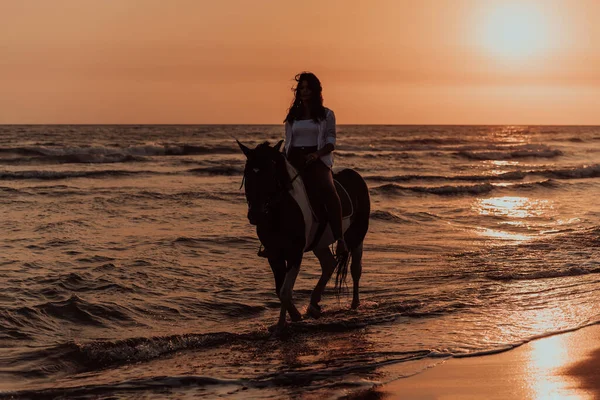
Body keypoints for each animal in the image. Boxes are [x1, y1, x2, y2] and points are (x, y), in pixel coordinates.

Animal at [236, 139, 368, 332]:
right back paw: (313, 305)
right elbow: (280, 289)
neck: (280, 212)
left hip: (357, 235)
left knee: (355, 268)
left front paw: (282, 324)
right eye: (247, 173)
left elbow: (285, 291)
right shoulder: (274, 254)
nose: (255, 215)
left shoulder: (295, 253)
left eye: (270, 174)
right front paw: (294, 316)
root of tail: (355, 175)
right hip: (319, 243)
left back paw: (354, 304)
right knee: (329, 263)